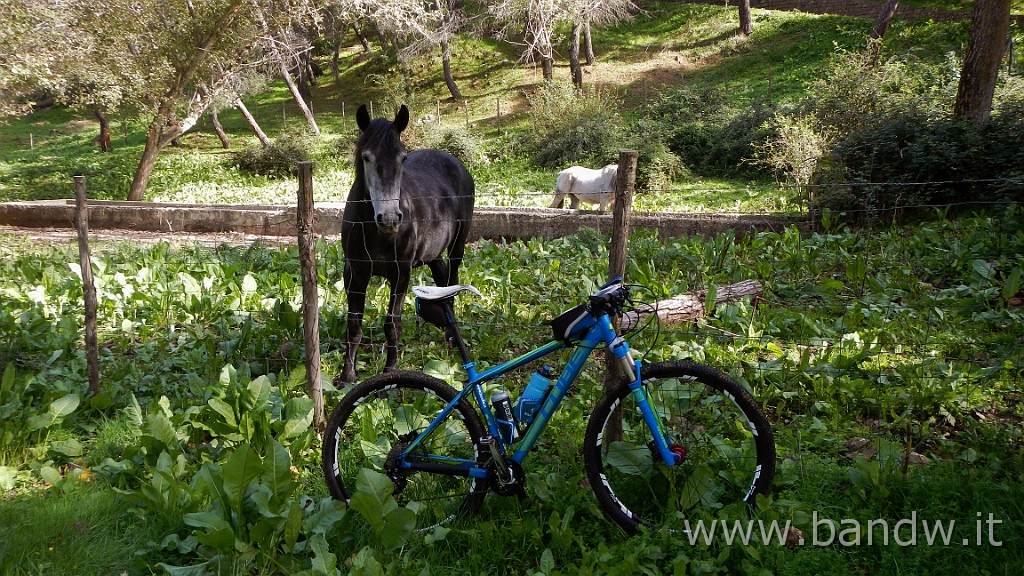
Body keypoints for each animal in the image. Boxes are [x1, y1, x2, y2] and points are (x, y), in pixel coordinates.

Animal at [339, 104, 475, 381]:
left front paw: (390, 371)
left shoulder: (400, 274)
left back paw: (450, 336)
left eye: (402, 158)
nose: (390, 218)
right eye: (366, 157)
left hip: (457, 246)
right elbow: (353, 325)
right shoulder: (355, 274)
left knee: (452, 279)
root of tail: (455, 162)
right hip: (433, 253)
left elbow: (392, 324)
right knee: (442, 278)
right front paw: (347, 376)